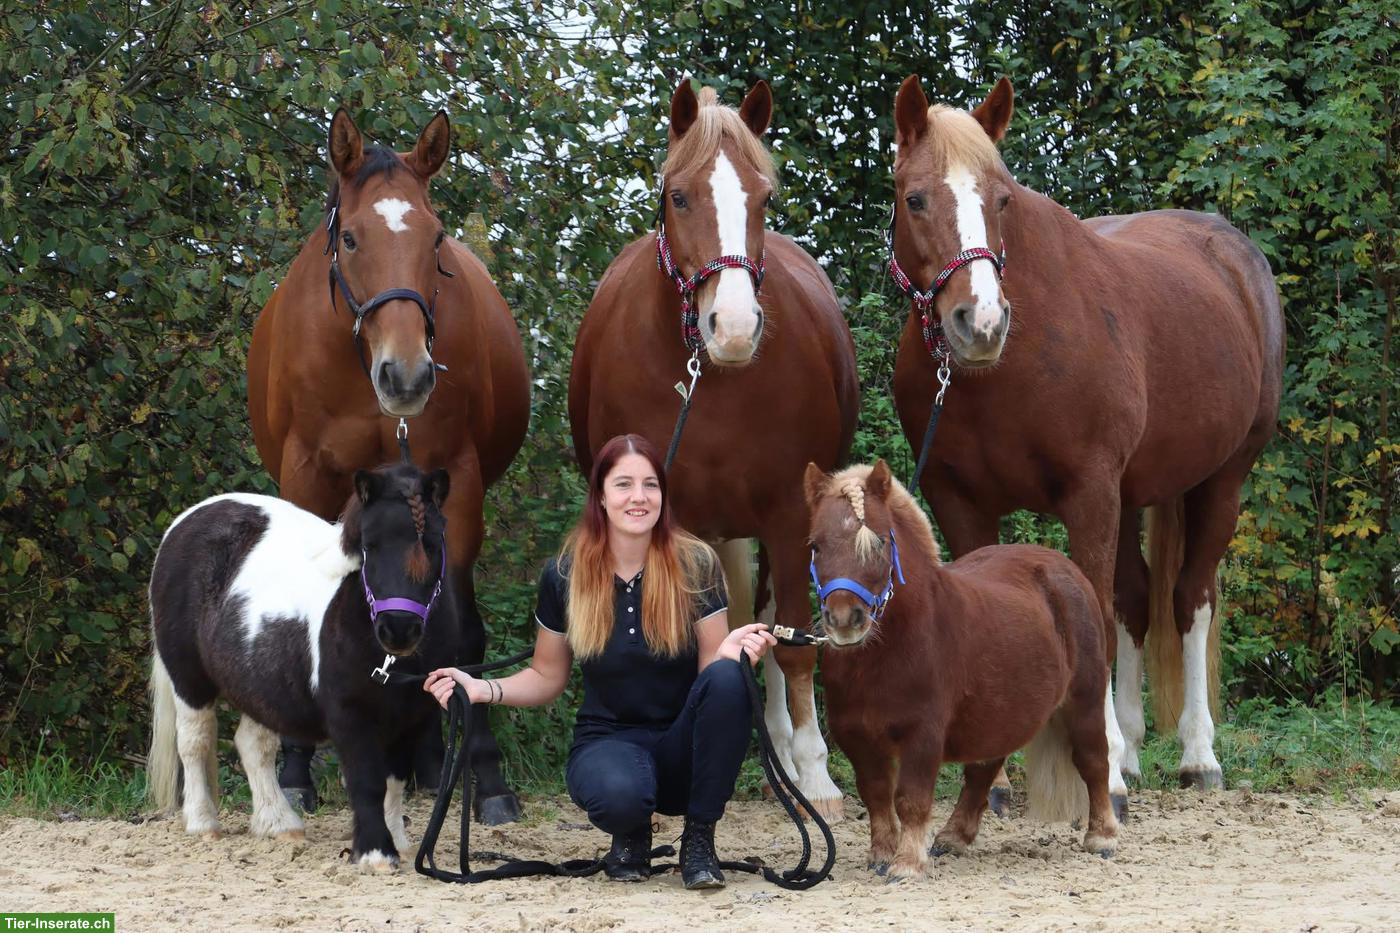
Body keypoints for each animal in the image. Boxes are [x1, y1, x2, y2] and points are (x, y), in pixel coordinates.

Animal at [147, 462, 457, 868]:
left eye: (434, 544)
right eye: (369, 546)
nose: (399, 630)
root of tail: (184, 522)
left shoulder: (410, 718)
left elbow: (394, 782)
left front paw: (399, 845)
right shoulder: (349, 716)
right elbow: (367, 782)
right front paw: (375, 854)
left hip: (260, 685)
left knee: (253, 745)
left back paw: (280, 824)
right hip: (188, 679)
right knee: (194, 741)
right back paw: (203, 823)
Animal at [247, 108, 530, 823]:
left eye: (436, 240)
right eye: (350, 237)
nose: (406, 377)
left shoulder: (456, 489)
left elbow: (462, 631)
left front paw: (486, 775)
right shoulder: (308, 478)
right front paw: (295, 770)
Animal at [568, 80, 860, 819]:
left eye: (764, 197)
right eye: (678, 195)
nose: (731, 326)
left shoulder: (787, 514)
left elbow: (792, 646)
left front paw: (814, 773)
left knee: (769, 628)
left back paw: (784, 750)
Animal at [806, 460, 1119, 879]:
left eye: (880, 543)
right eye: (815, 545)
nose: (844, 620)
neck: (884, 655)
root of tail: (1062, 565)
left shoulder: (923, 732)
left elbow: (911, 798)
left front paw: (907, 865)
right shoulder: (856, 736)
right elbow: (876, 795)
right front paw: (881, 856)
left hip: (1084, 699)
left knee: (1093, 758)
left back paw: (1102, 838)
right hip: (999, 712)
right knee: (984, 769)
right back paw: (953, 837)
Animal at [888, 76, 1284, 799]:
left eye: (1003, 199)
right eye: (916, 198)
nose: (980, 322)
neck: (1008, 369)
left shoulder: (1089, 493)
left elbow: (1092, 610)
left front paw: (1103, 769)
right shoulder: (961, 501)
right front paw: (999, 777)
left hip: (1223, 479)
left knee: (1191, 598)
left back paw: (1195, 753)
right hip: (1132, 496)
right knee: (1137, 600)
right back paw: (1128, 749)